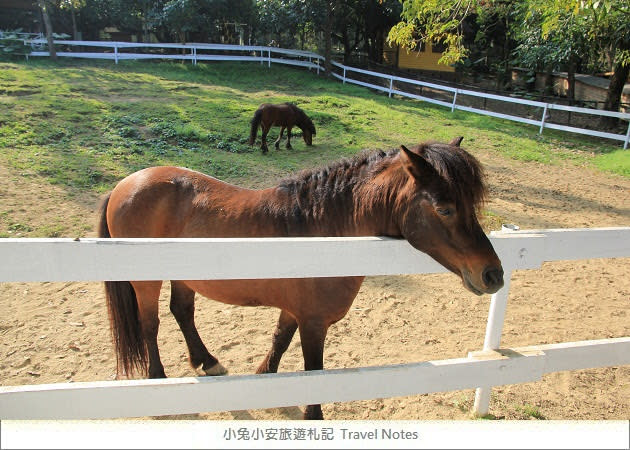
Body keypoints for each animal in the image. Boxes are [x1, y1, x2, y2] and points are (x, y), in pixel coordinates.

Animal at [97, 136, 504, 418]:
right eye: (444, 208)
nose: (493, 274)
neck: (319, 233)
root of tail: (124, 184)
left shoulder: (295, 312)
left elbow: (279, 341)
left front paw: (266, 378)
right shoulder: (313, 322)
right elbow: (313, 370)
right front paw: (313, 414)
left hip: (184, 276)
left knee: (182, 312)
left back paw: (208, 361)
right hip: (145, 281)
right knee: (150, 324)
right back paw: (158, 379)